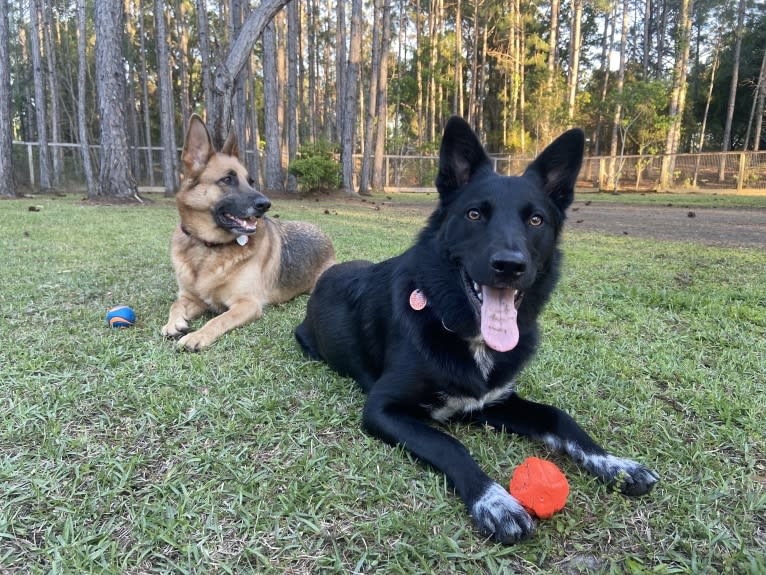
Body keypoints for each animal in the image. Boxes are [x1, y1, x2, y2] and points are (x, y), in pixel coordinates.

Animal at [162, 115, 336, 352]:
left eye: (251, 181)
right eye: (227, 179)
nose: (266, 204)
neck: (208, 248)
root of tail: (323, 234)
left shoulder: (247, 304)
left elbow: (218, 319)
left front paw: (197, 336)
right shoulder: (193, 298)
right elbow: (176, 303)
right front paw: (173, 323)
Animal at [296, 118, 660, 544]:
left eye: (535, 220)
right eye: (474, 215)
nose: (510, 265)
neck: (463, 331)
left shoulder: (494, 401)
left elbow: (559, 417)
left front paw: (614, 463)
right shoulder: (382, 409)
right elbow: (448, 444)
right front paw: (494, 501)